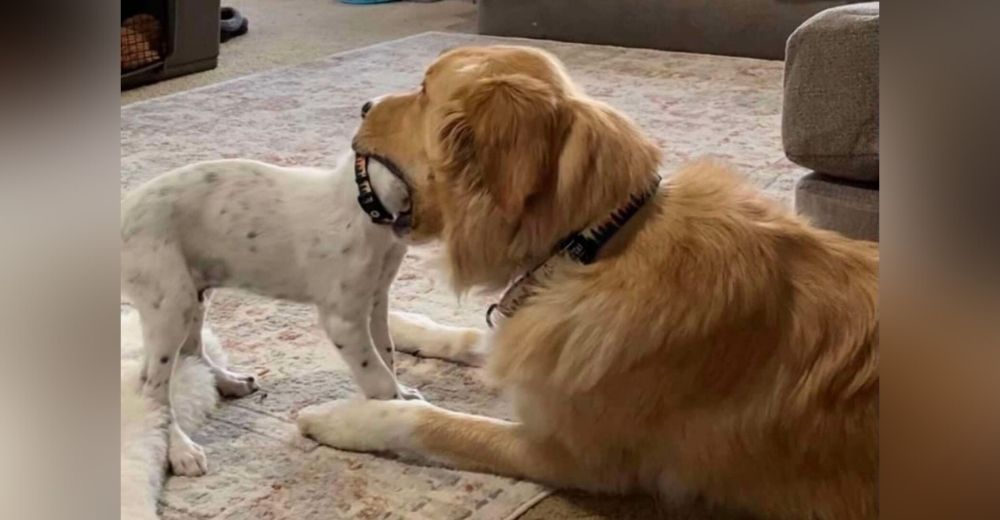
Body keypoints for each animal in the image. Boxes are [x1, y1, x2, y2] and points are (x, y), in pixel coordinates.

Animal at [117, 150, 430, 476]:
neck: (365, 203)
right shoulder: (345, 319)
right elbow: (378, 375)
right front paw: (393, 411)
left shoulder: (377, 299)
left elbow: (387, 353)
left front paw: (402, 395)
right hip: (171, 302)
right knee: (153, 388)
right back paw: (180, 448)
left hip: (194, 292)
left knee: (190, 351)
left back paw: (227, 381)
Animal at [296, 45, 876, 520]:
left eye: (422, 90)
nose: (363, 104)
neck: (591, 242)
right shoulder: (547, 349)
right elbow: (470, 338)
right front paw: (403, 325)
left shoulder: (567, 455)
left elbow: (431, 422)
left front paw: (344, 416)